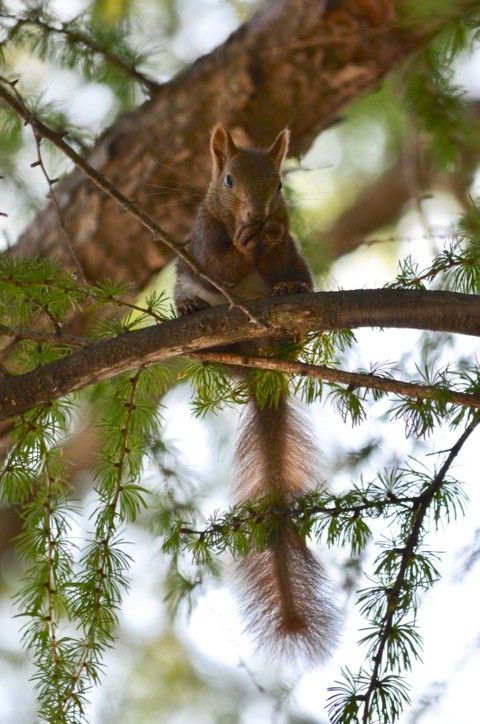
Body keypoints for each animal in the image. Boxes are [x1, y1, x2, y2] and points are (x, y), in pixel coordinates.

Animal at [173, 123, 338, 660]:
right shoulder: (201, 239)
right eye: (227, 179)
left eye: (281, 185)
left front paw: (268, 244)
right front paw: (245, 242)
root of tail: (260, 365)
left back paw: (288, 309)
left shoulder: (288, 243)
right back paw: (197, 324)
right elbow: (217, 264)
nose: (258, 216)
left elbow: (279, 255)